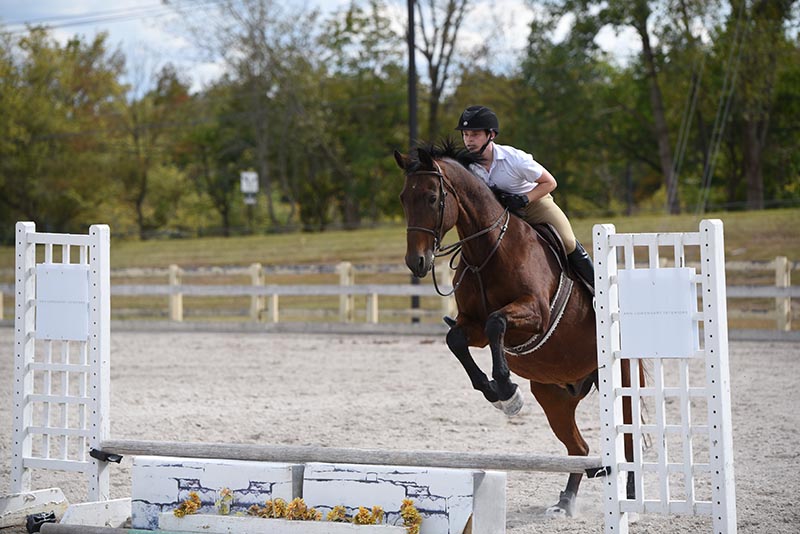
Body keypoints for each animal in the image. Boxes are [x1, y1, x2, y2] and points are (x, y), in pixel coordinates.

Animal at [394, 142, 636, 520]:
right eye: (404, 198)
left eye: (433, 198)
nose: (416, 262)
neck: (488, 250)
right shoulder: (472, 326)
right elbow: (456, 339)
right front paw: (497, 394)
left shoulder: (535, 313)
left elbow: (497, 322)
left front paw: (506, 388)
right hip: (555, 395)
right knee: (579, 448)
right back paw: (565, 502)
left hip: (619, 380)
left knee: (628, 442)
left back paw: (630, 497)